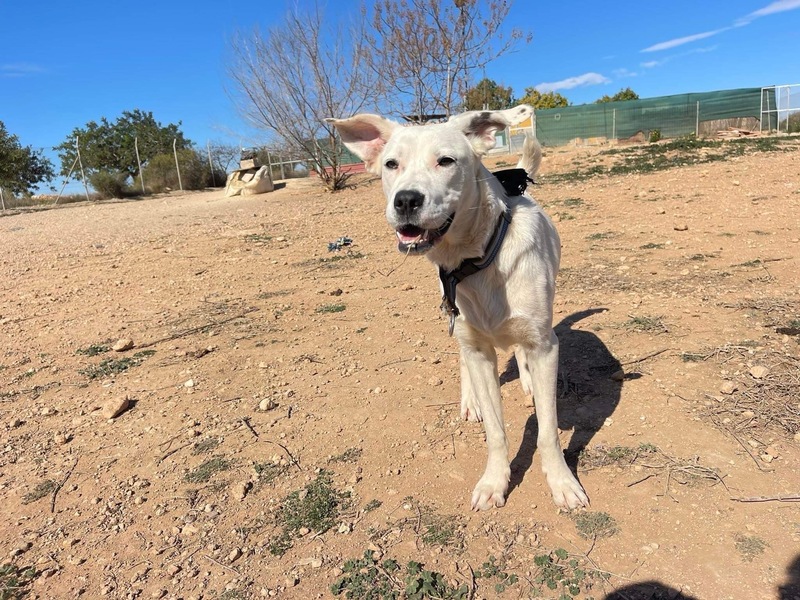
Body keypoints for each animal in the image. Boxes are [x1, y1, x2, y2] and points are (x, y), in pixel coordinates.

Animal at [327, 105, 588, 511]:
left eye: (446, 161)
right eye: (391, 164)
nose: (405, 200)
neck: (478, 259)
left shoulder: (543, 345)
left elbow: (547, 430)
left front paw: (562, 482)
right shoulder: (477, 348)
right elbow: (496, 430)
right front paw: (494, 481)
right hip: (456, 322)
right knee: (463, 359)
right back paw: (471, 401)